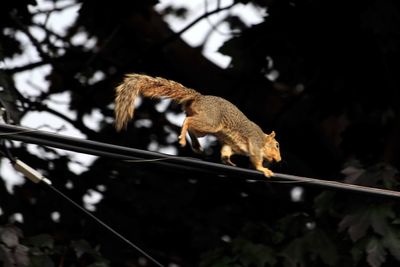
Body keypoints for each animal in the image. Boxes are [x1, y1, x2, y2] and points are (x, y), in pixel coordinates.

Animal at [113, 74, 282, 178]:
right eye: (277, 145)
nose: (279, 160)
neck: (263, 138)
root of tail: (199, 98)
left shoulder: (232, 145)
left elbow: (225, 153)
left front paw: (229, 163)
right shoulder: (255, 142)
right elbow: (256, 157)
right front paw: (263, 169)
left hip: (204, 127)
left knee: (191, 126)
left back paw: (195, 144)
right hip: (211, 122)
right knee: (188, 121)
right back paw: (183, 139)